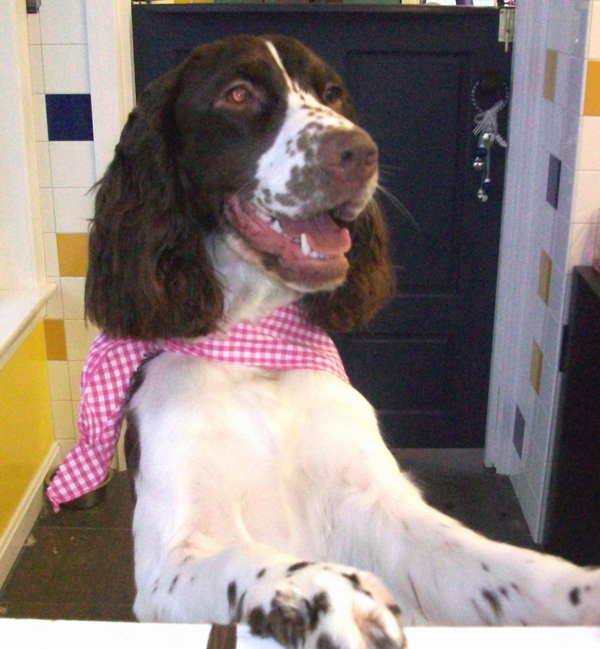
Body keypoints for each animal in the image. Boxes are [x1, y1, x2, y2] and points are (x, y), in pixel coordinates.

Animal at [85, 35, 600, 644]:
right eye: (238, 94)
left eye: (332, 93)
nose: (359, 153)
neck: (257, 351)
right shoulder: (169, 562)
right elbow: (249, 560)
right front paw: (320, 592)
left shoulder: (376, 501)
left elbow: (492, 564)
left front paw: (580, 591)